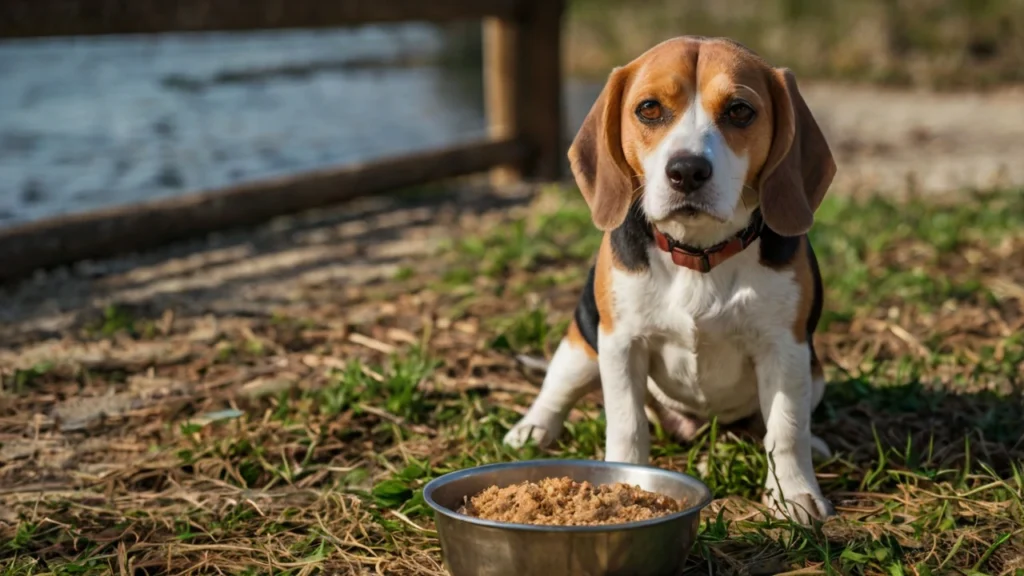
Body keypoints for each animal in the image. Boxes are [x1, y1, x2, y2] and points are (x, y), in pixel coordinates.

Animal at [505, 34, 839, 520]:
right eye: (649, 109)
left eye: (740, 110)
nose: (687, 171)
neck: (698, 253)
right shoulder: (621, 343)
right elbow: (626, 425)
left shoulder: (786, 348)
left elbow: (787, 428)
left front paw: (793, 494)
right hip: (583, 344)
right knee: (556, 392)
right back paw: (531, 429)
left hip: (814, 373)